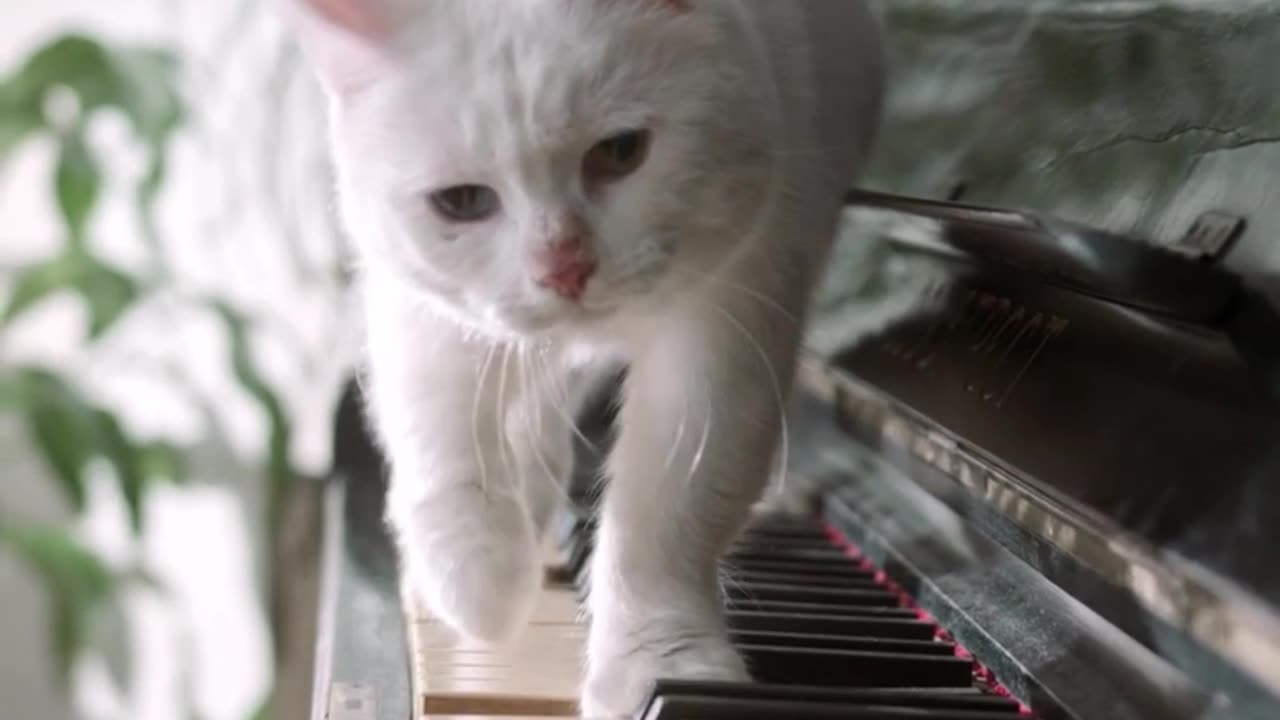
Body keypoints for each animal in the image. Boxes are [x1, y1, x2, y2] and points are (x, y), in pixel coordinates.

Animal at [282, 1, 880, 712]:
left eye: (620, 153)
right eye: (461, 202)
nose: (563, 268)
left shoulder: (733, 326)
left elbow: (667, 515)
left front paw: (661, 668)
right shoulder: (424, 307)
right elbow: (442, 439)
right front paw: (477, 589)